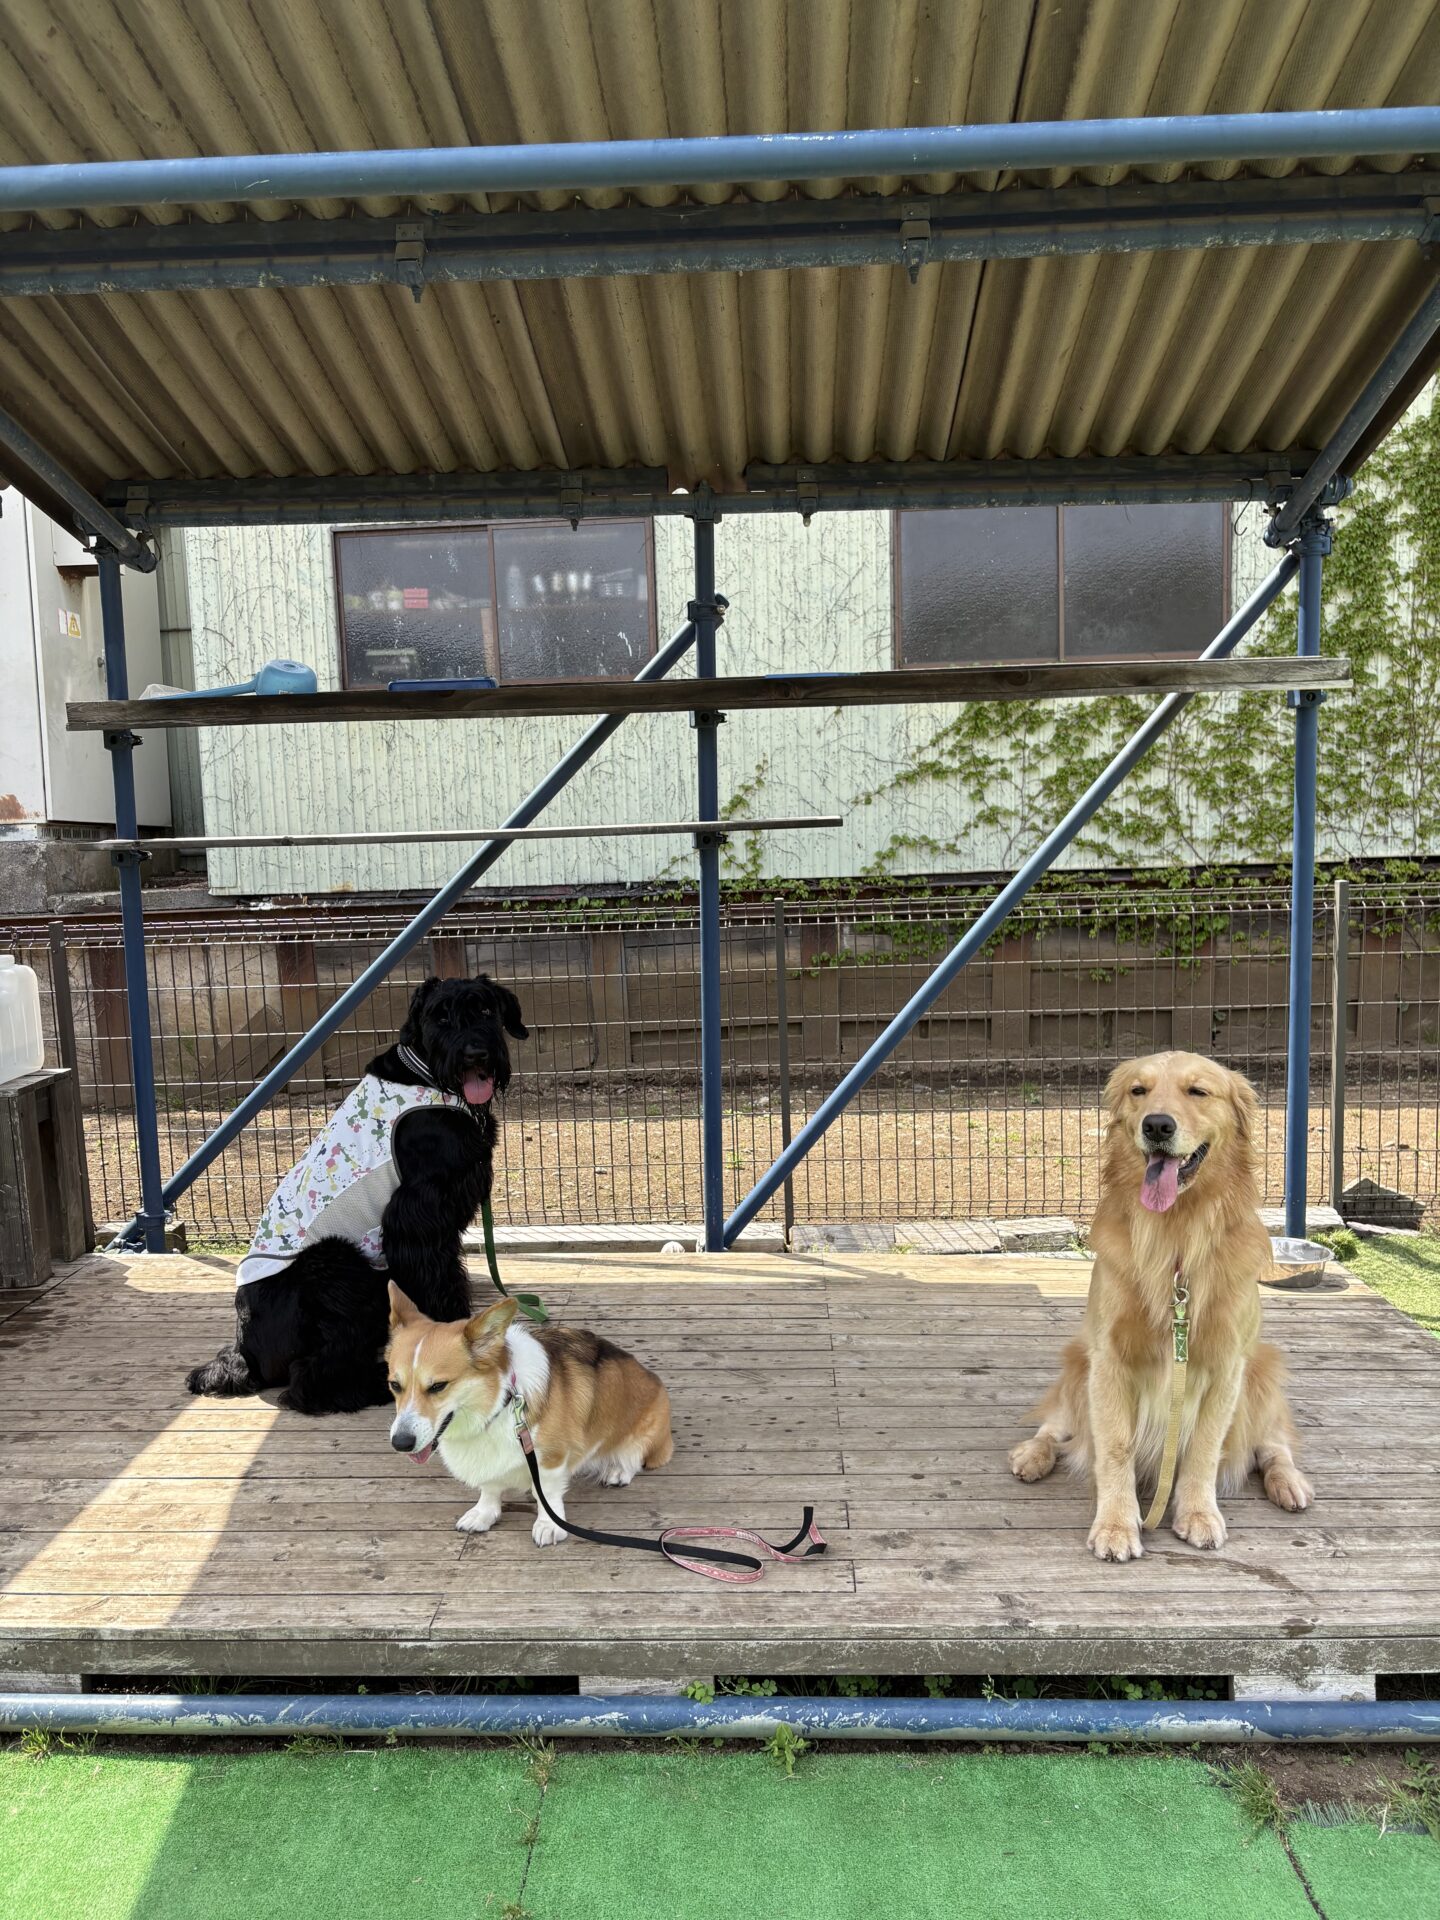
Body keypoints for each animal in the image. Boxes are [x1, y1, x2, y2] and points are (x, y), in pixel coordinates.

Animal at [185, 973, 527, 1416]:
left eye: (485, 1009)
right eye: (440, 1016)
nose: (475, 1053)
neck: (429, 1078)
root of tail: (246, 1351)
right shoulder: (416, 1217)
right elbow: (436, 1277)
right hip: (334, 1264)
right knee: (308, 1380)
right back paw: (375, 1385)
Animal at [386, 1288, 674, 1545]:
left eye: (438, 1386)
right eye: (394, 1385)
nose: (400, 1443)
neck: (502, 1400)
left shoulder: (551, 1458)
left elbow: (545, 1491)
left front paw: (548, 1526)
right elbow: (489, 1487)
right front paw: (483, 1514)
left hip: (647, 1429)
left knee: (634, 1455)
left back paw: (618, 1470)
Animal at [1009, 1051, 1312, 1561]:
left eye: (1198, 1091)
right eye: (1139, 1091)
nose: (1156, 1125)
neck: (1175, 1237)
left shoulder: (1226, 1366)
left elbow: (1205, 1450)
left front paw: (1198, 1513)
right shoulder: (1108, 1361)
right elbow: (1114, 1448)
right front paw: (1115, 1523)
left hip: (1262, 1373)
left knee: (1271, 1445)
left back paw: (1288, 1482)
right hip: (1077, 1363)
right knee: (1058, 1426)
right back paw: (1033, 1453)